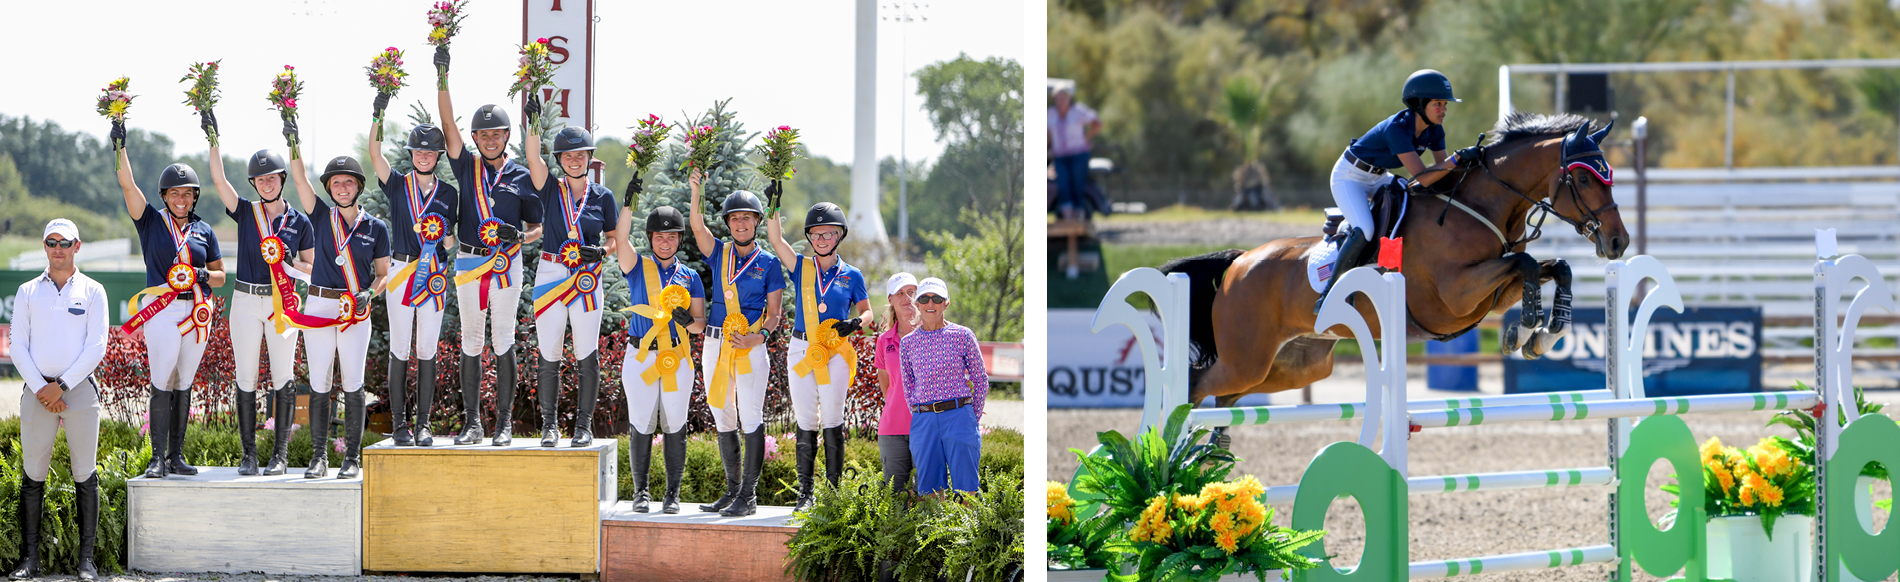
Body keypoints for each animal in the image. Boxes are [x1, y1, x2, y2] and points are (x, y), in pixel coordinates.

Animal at [1155, 112, 1634, 408]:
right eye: (1584, 179)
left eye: (1609, 175)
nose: (1618, 242)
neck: (1476, 207)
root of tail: (1238, 263)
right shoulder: (1457, 296)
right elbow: (1529, 265)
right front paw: (1527, 329)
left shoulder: (1492, 293)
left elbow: (1553, 267)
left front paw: (1543, 336)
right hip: (1246, 358)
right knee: (1197, 386)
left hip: (1293, 365)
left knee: (1226, 398)